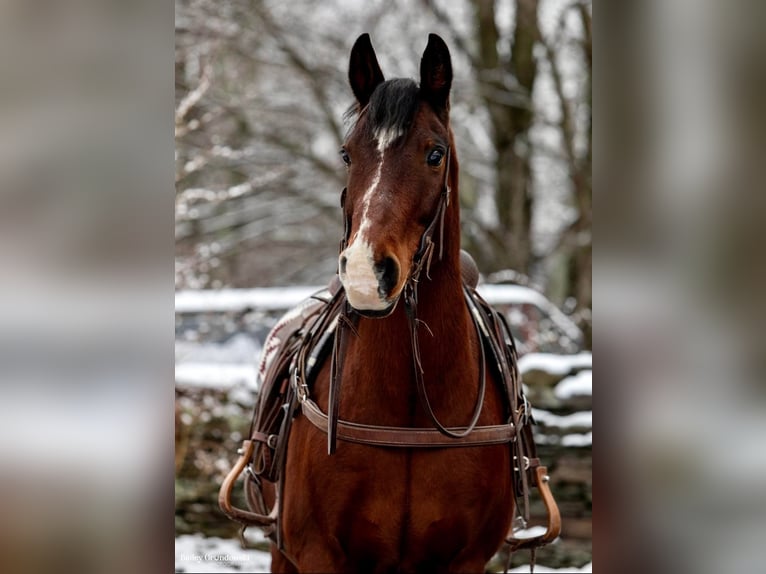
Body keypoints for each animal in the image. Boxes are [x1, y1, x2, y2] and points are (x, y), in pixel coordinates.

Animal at [270, 32, 516, 574]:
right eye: (346, 155)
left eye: (435, 153)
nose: (366, 274)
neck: (409, 414)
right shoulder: (316, 554)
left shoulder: (465, 560)